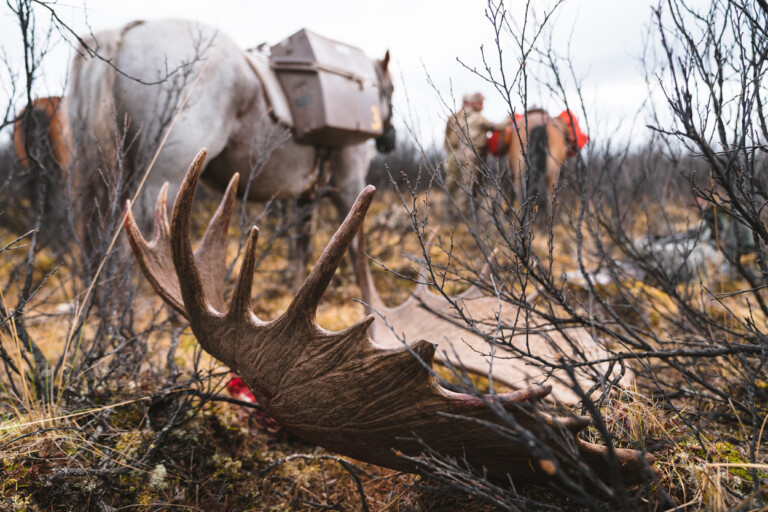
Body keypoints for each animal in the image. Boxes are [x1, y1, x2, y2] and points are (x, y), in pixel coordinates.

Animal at [63, 19, 392, 276]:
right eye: (390, 90)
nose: (390, 139)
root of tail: (125, 32)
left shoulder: (305, 197)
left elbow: (302, 254)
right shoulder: (349, 185)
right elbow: (356, 257)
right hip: (158, 185)